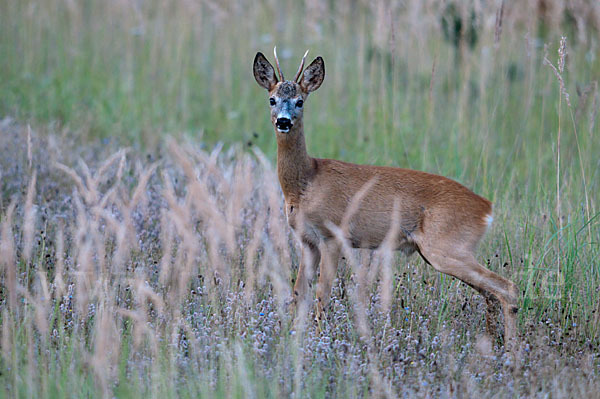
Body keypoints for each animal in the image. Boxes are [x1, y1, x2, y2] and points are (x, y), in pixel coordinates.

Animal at [253, 49, 520, 344]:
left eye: (300, 101)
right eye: (272, 99)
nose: (283, 121)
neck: (306, 182)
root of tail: (487, 208)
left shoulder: (333, 236)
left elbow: (323, 294)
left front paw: (321, 338)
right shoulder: (308, 241)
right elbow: (298, 293)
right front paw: (292, 336)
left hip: (447, 248)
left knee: (507, 288)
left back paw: (512, 350)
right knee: (490, 294)